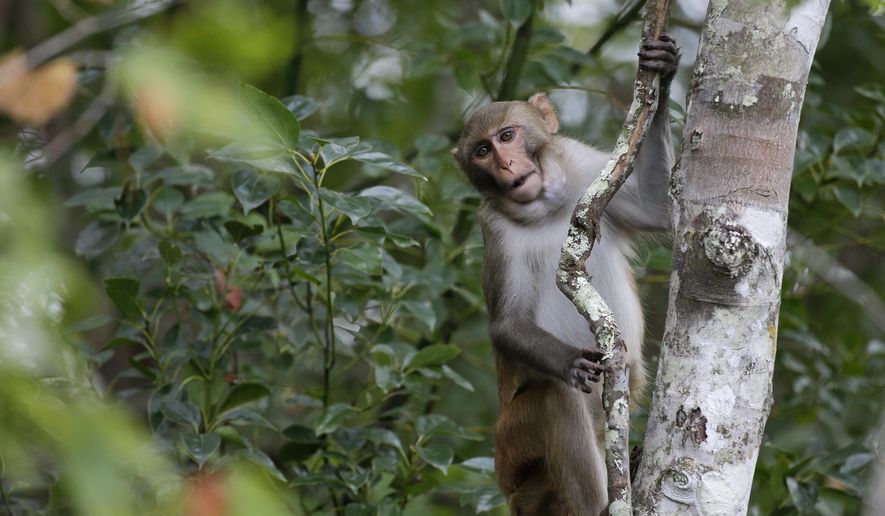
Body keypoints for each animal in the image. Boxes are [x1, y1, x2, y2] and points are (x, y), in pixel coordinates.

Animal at [451, 34, 679, 516]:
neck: (547, 206)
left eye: (507, 136)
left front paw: (664, 72)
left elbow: (658, 208)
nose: (505, 165)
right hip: (514, 448)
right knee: (556, 400)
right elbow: (508, 324)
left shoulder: (585, 165)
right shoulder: (494, 230)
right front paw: (570, 361)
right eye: (482, 151)